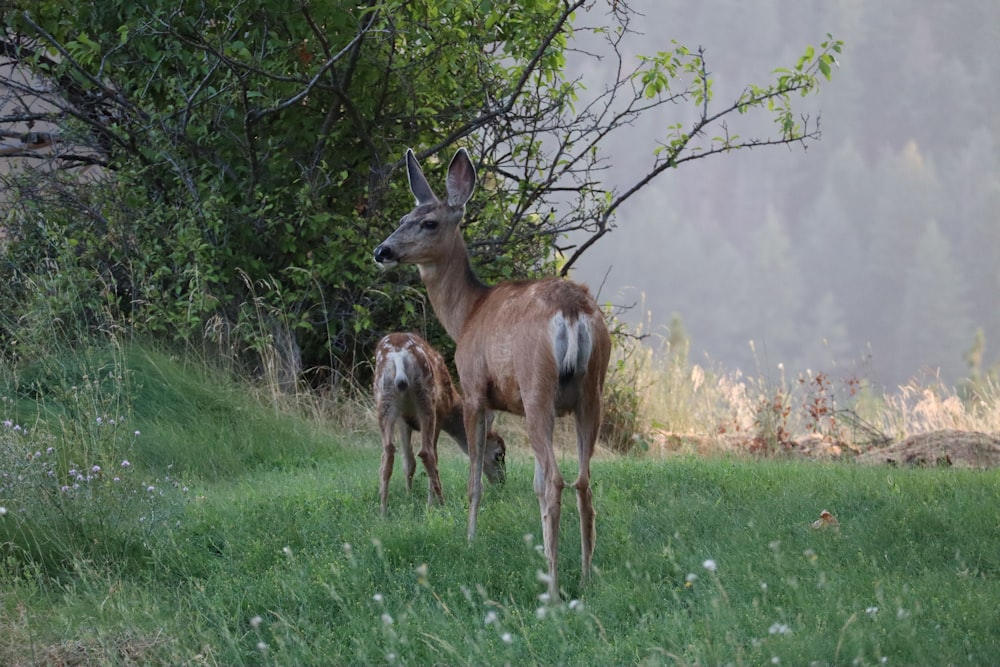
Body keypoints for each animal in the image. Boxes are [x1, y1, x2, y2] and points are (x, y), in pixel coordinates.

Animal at [374, 332, 508, 516]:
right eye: (499, 455)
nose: (502, 482)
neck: (451, 406)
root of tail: (398, 356)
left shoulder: (403, 421)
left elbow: (408, 462)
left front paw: (409, 496)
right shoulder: (439, 417)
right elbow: (433, 458)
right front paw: (430, 504)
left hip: (384, 400)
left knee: (388, 452)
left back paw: (383, 510)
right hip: (427, 400)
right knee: (426, 453)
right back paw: (442, 504)